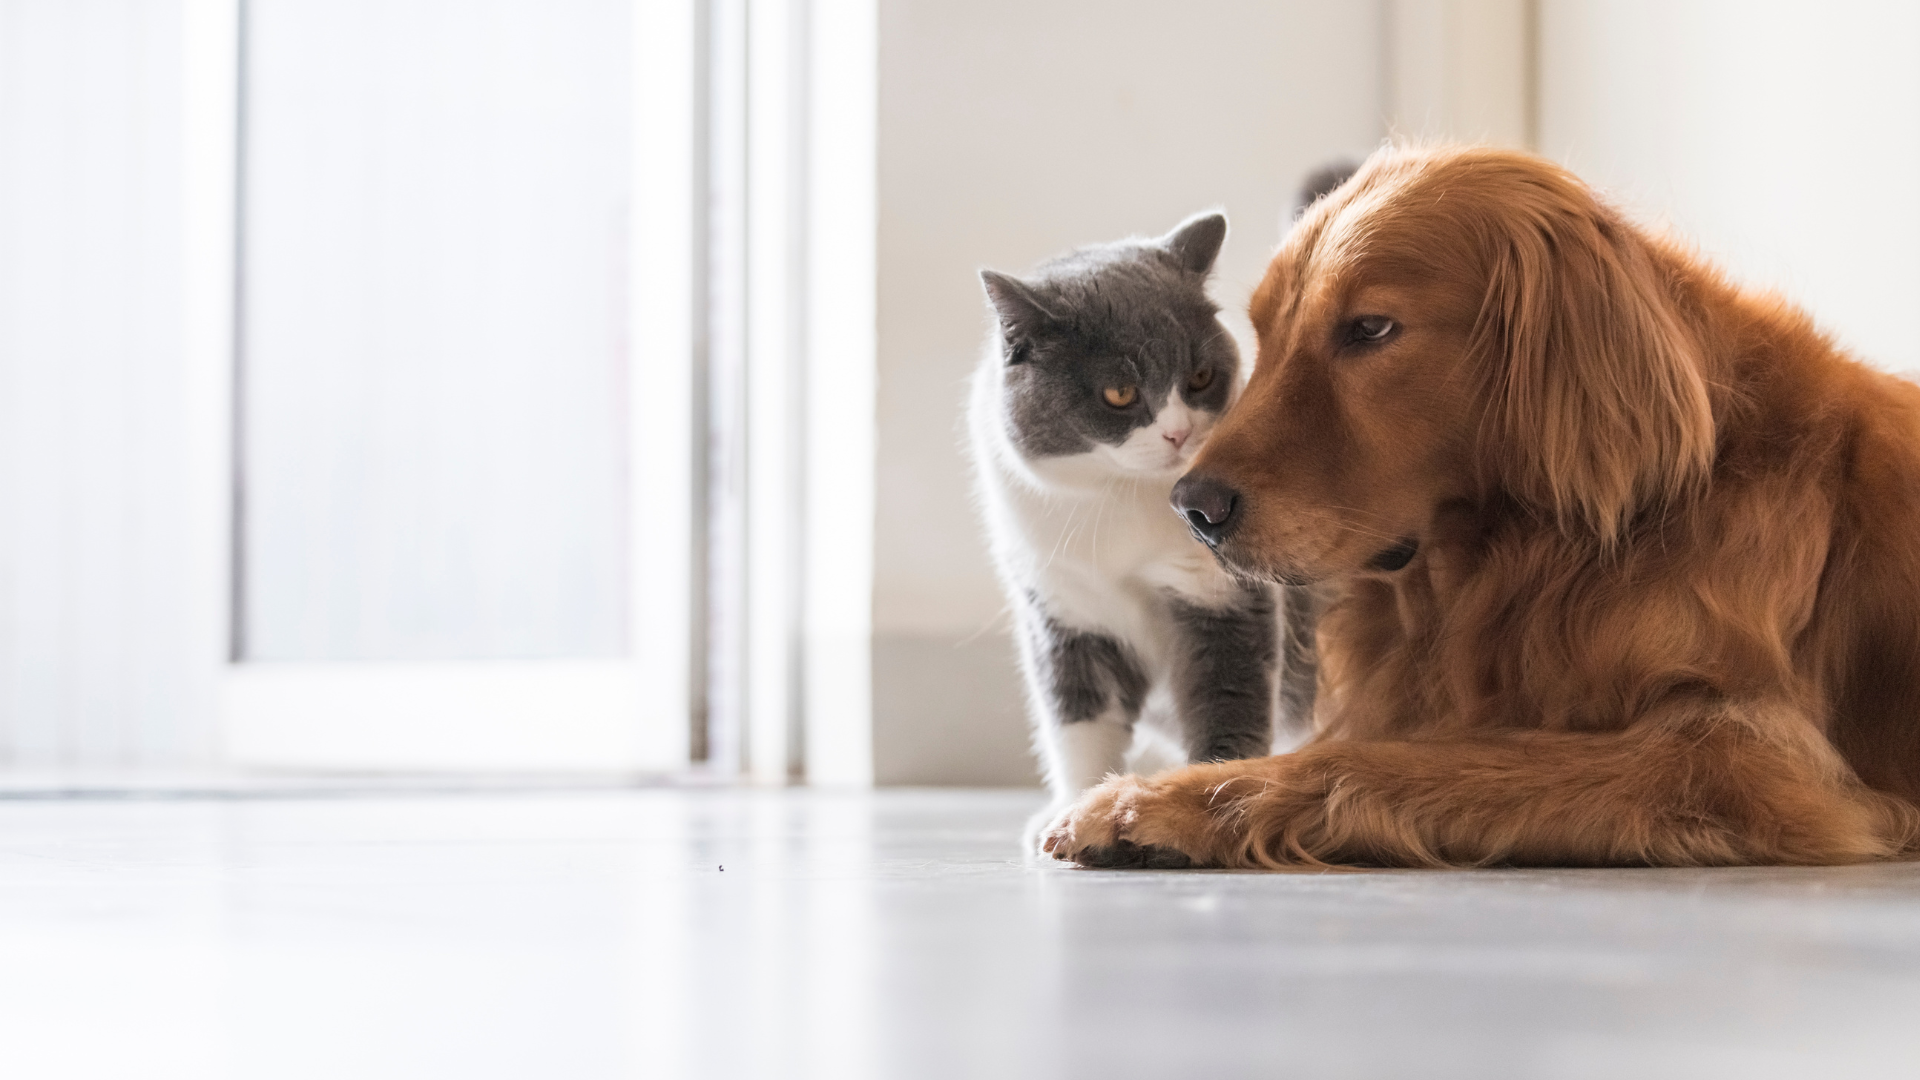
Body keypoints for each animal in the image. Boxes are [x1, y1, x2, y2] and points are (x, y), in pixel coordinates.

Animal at [967, 210, 1313, 834]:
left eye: (1200, 376)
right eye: (1119, 392)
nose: (1177, 433)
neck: (1118, 498)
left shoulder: (1221, 589)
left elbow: (1227, 693)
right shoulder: (1063, 602)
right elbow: (1078, 715)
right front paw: (1072, 812)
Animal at [1052, 145, 1920, 864]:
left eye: (1370, 328)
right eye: (1263, 335)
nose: (1191, 507)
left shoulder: (1743, 752)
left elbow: (1399, 758)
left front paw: (1160, 802)